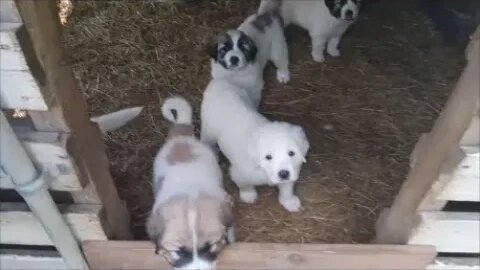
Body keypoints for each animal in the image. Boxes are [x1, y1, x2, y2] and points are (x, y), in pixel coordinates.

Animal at [201, 79, 310, 212]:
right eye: (268, 157)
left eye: (291, 153)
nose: (283, 174)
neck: (263, 169)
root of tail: (219, 83)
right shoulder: (239, 173)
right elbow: (245, 185)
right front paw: (249, 195)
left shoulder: (293, 170)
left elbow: (287, 188)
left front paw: (289, 201)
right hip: (208, 130)